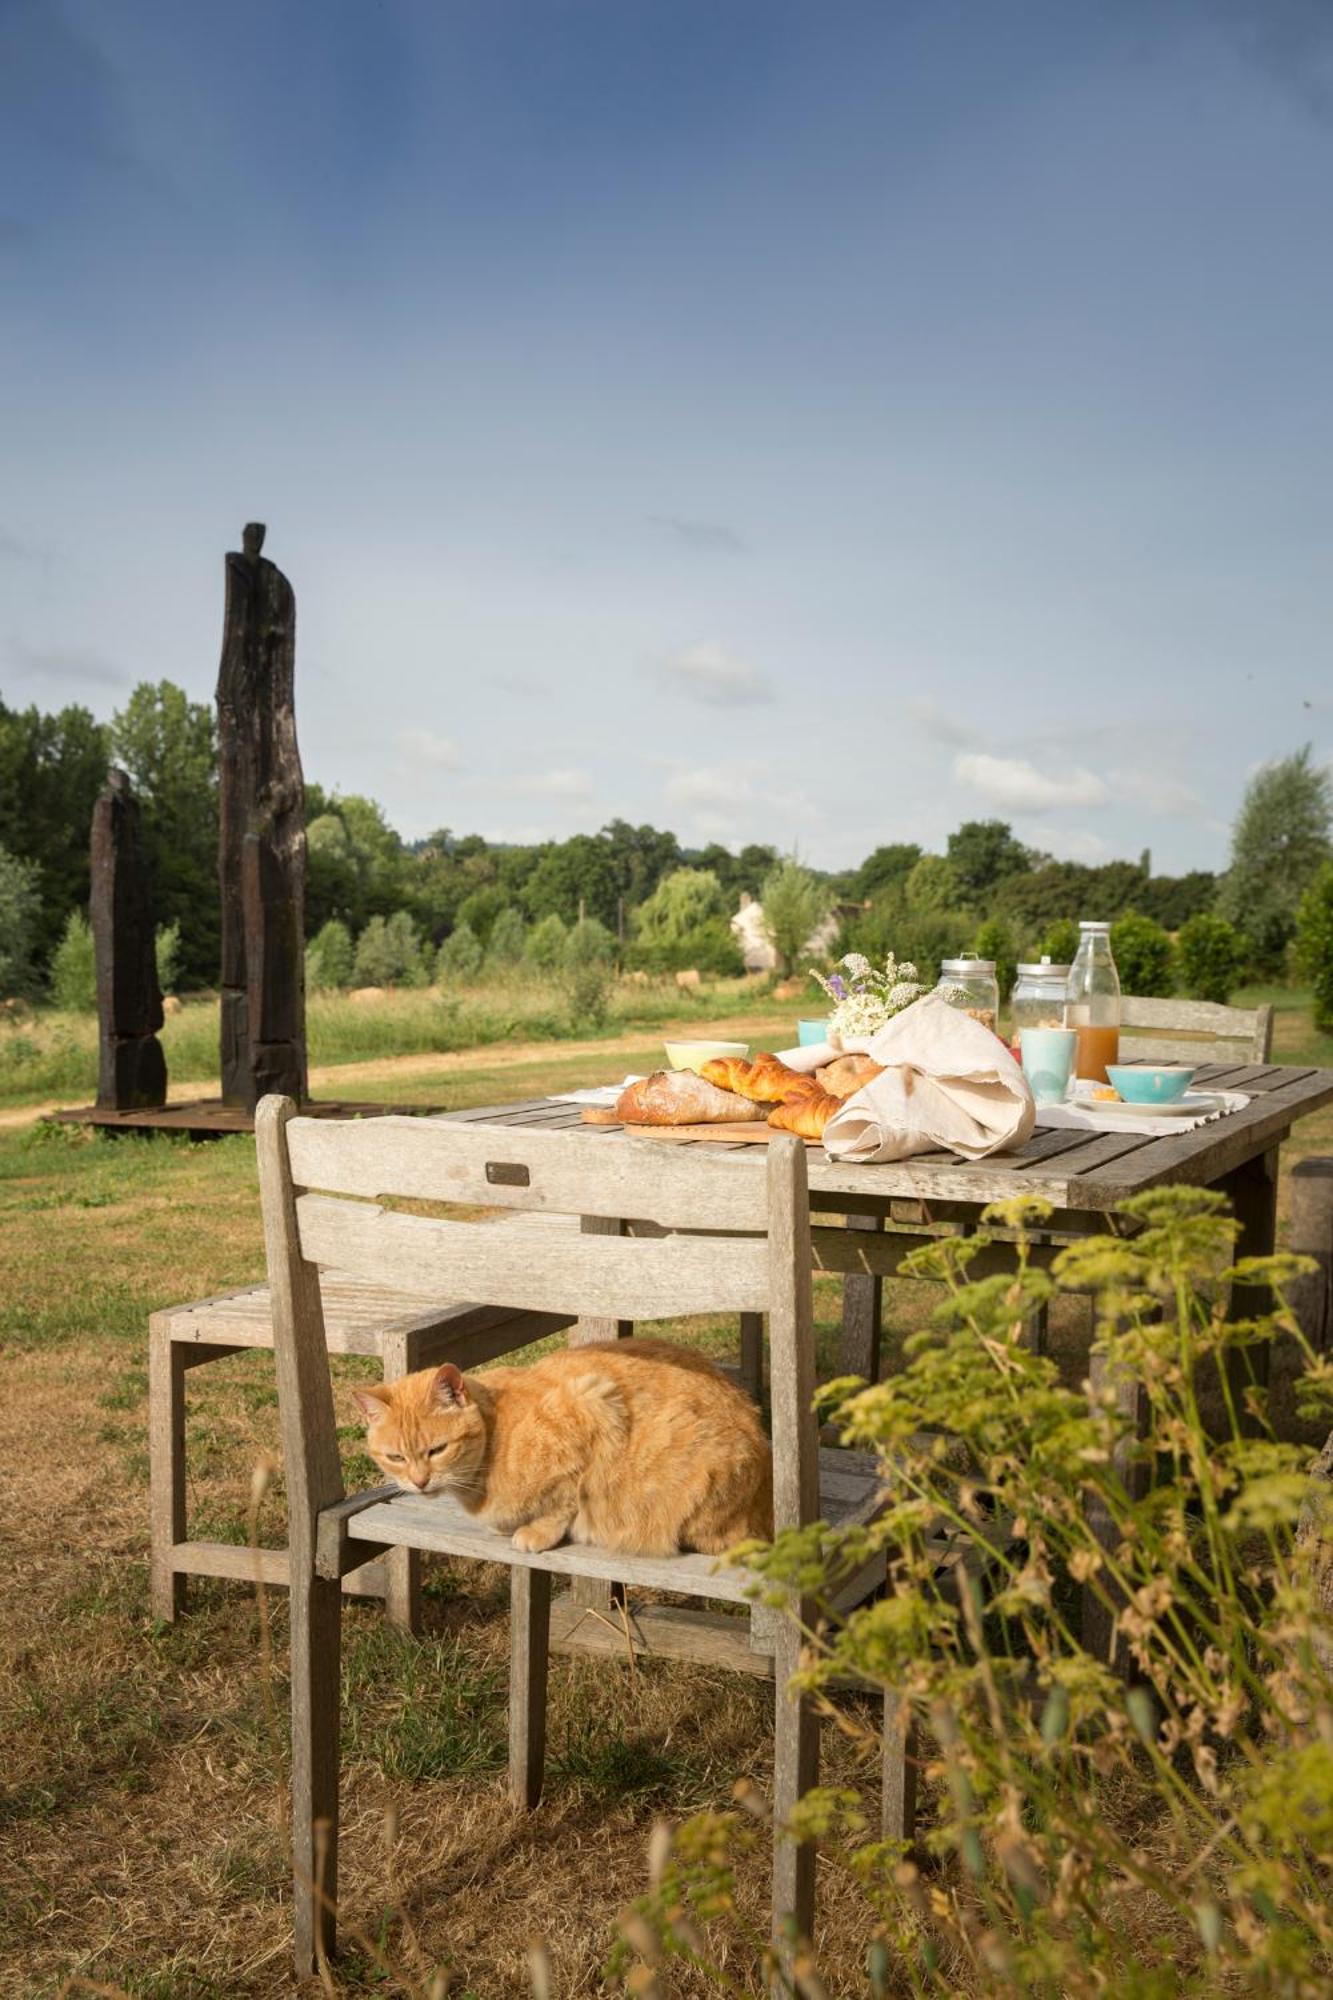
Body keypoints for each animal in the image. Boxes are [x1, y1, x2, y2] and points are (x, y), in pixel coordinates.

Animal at [348, 1344, 772, 1560]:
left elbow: (565, 1499)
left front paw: (537, 1531)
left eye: (438, 1450)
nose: (419, 1482)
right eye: (396, 1458)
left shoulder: (592, 1403)